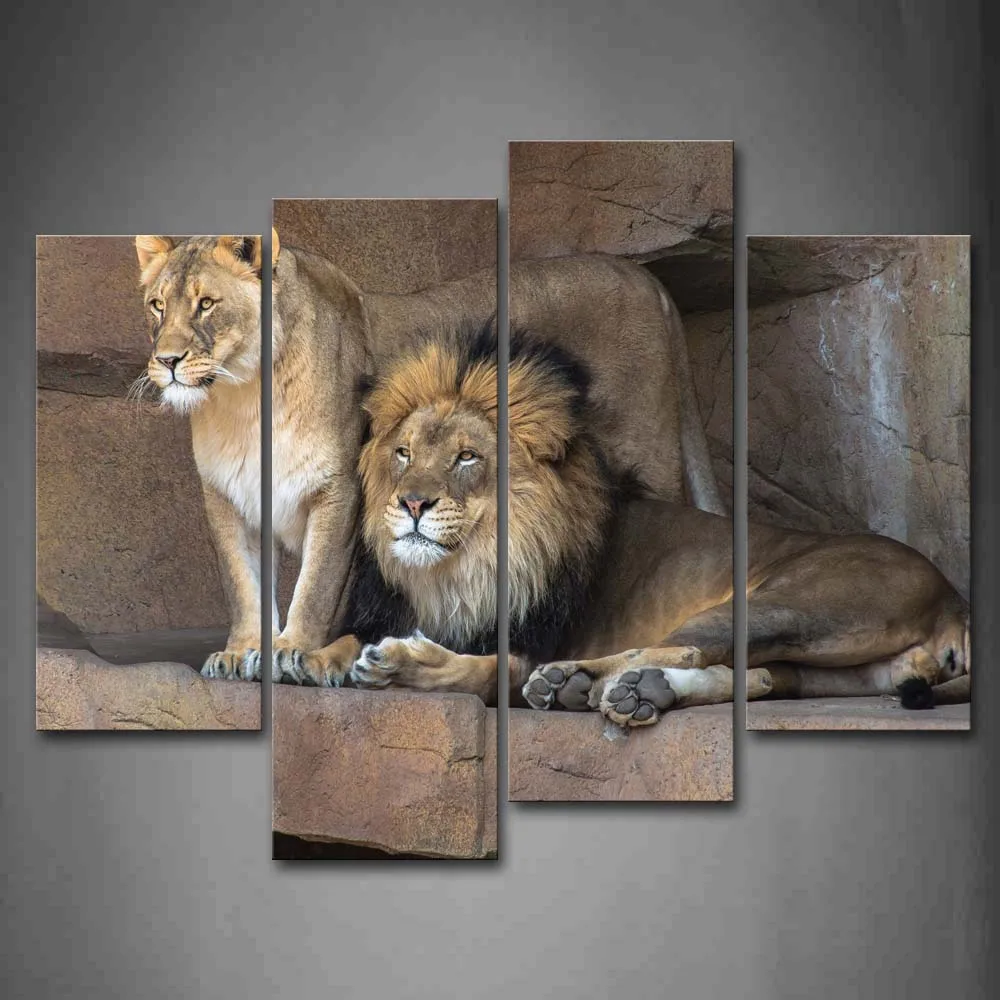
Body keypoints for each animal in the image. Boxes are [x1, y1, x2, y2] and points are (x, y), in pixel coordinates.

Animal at [135, 235, 264, 680]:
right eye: (158, 305)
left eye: (206, 303)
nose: (167, 361)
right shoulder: (224, 492)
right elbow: (242, 577)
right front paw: (242, 653)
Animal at [270, 231, 725, 683]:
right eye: (404, 452)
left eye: (466, 457)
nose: (413, 504)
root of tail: (649, 282)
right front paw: (308, 658)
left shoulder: (337, 488)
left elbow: (318, 583)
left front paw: (292, 650)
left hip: (650, 459)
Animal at [300, 327, 970, 725]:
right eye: (404, 453)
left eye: (467, 457)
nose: (412, 503)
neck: (463, 570)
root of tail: (952, 595)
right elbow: (343, 640)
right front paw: (308, 657)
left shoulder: (526, 642)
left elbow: (481, 669)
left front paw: (400, 665)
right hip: (841, 669)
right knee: (752, 675)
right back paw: (641, 692)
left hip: (794, 604)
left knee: (685, 646)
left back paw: (577, 682)